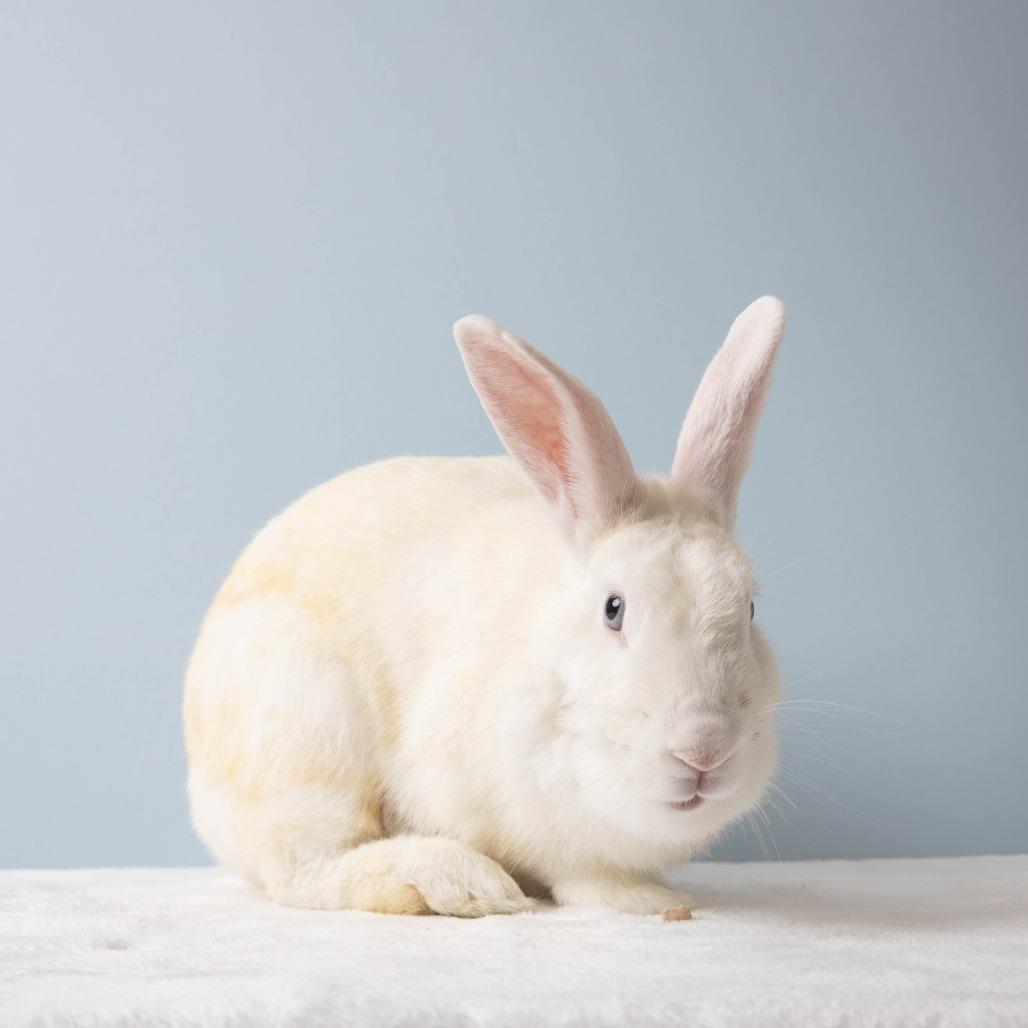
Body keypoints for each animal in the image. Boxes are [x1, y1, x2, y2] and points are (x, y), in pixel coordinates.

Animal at [183, 295, 785, 918]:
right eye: (613, 608)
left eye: (749, 610)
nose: (705, 749)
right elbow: (581, 873)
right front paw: (641, 900)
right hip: (309, 735)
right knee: (304, 866)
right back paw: (458, 881)